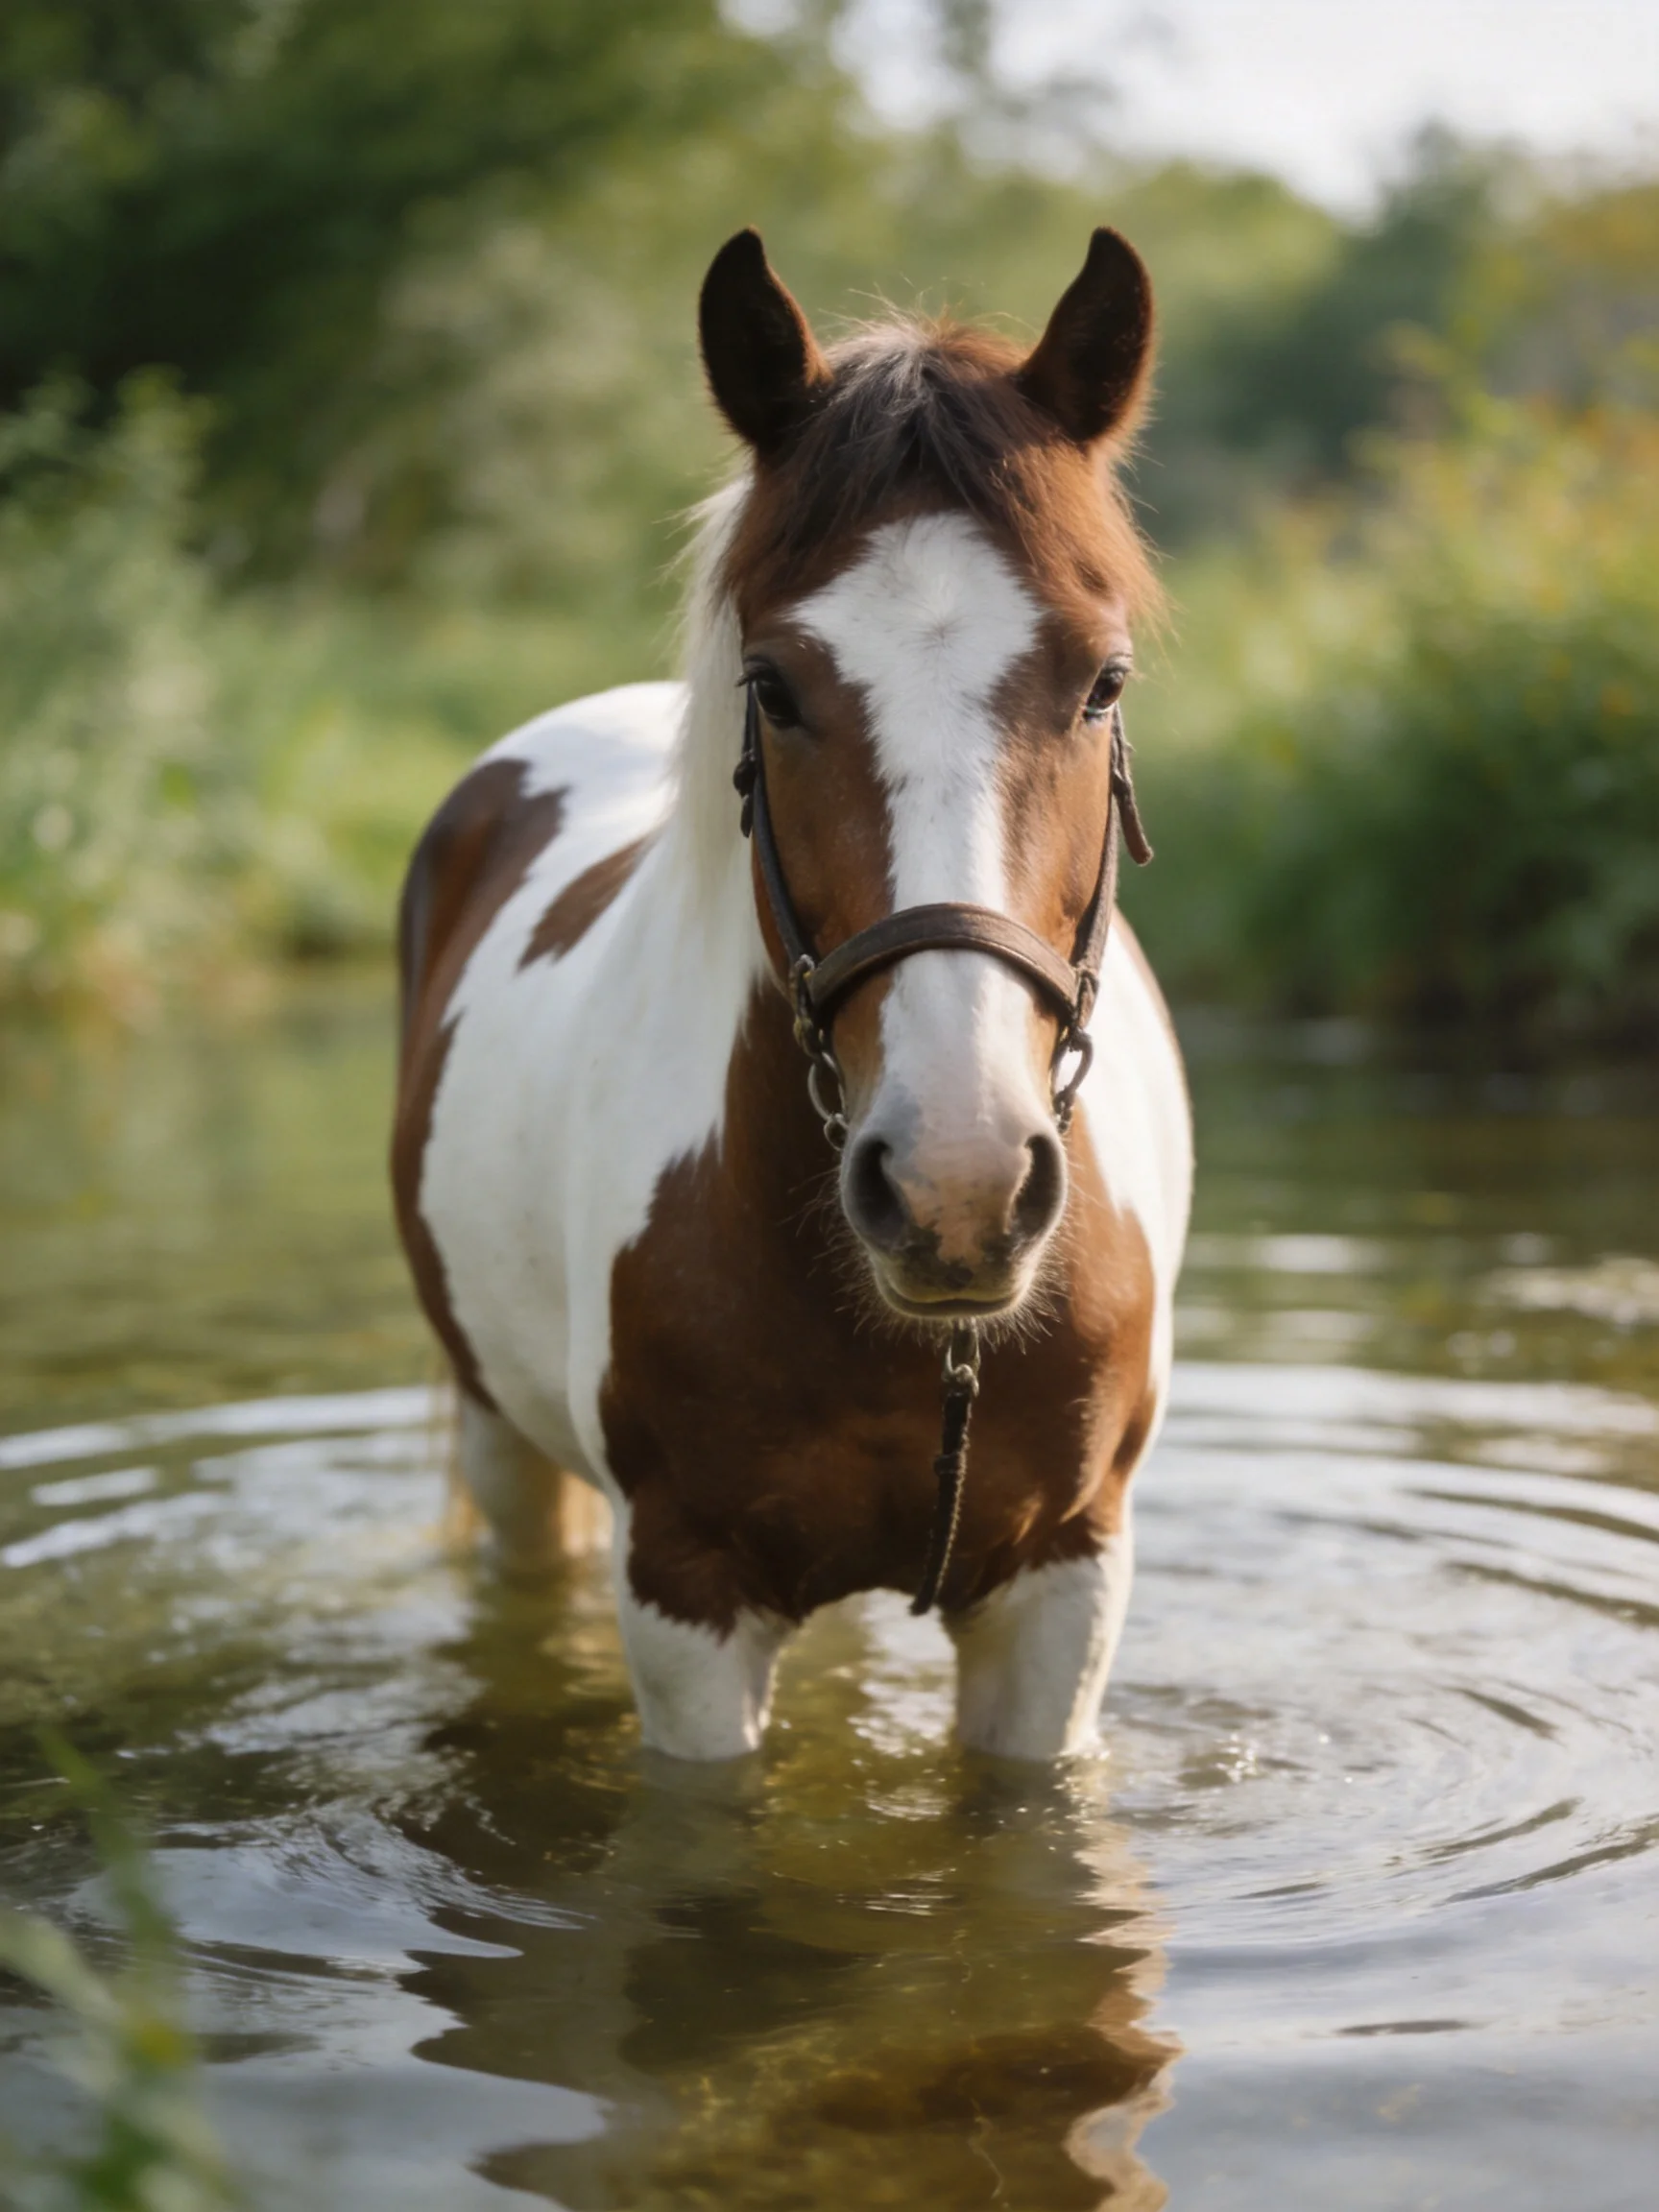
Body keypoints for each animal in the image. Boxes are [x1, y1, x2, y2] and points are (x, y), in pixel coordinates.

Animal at [391, 226, 1192, 1762]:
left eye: (1104, 681)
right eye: (772, 685)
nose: (958, 1183)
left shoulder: (1067, 1589)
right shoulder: (684, 1595)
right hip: (503, 1442)